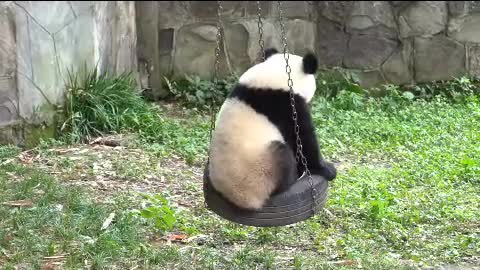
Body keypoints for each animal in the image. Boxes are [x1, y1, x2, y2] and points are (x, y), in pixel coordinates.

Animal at [207, 47, 338, 210]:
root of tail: (240, 199)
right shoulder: (287, 106)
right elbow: (304, 139)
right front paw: (327, 169)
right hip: (262, 168)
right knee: (283, 157)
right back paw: (295, 176)